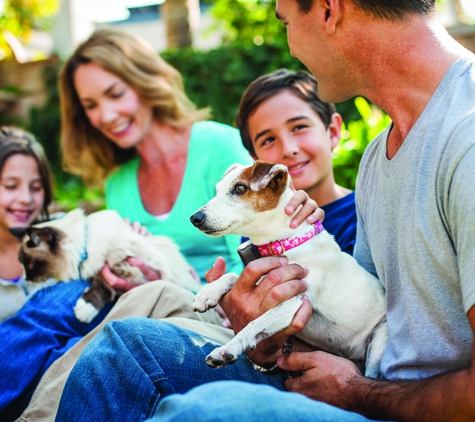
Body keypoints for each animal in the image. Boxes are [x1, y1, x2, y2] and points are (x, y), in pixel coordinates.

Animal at [10, 209, 201, 324]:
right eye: (23, 264)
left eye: (30, 265)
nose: (26, 279)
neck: (85, 246)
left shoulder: (125, 261)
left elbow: (103, 281)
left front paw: (84, 309)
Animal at [190, 161, 386, 376]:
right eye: (217, 190)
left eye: (240, 188)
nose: (195, 218)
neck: (284, 244)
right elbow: (233, 275)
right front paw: (207, 293)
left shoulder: (292, 303)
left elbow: (253, 324)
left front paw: (226, 349)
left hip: (379, 340)